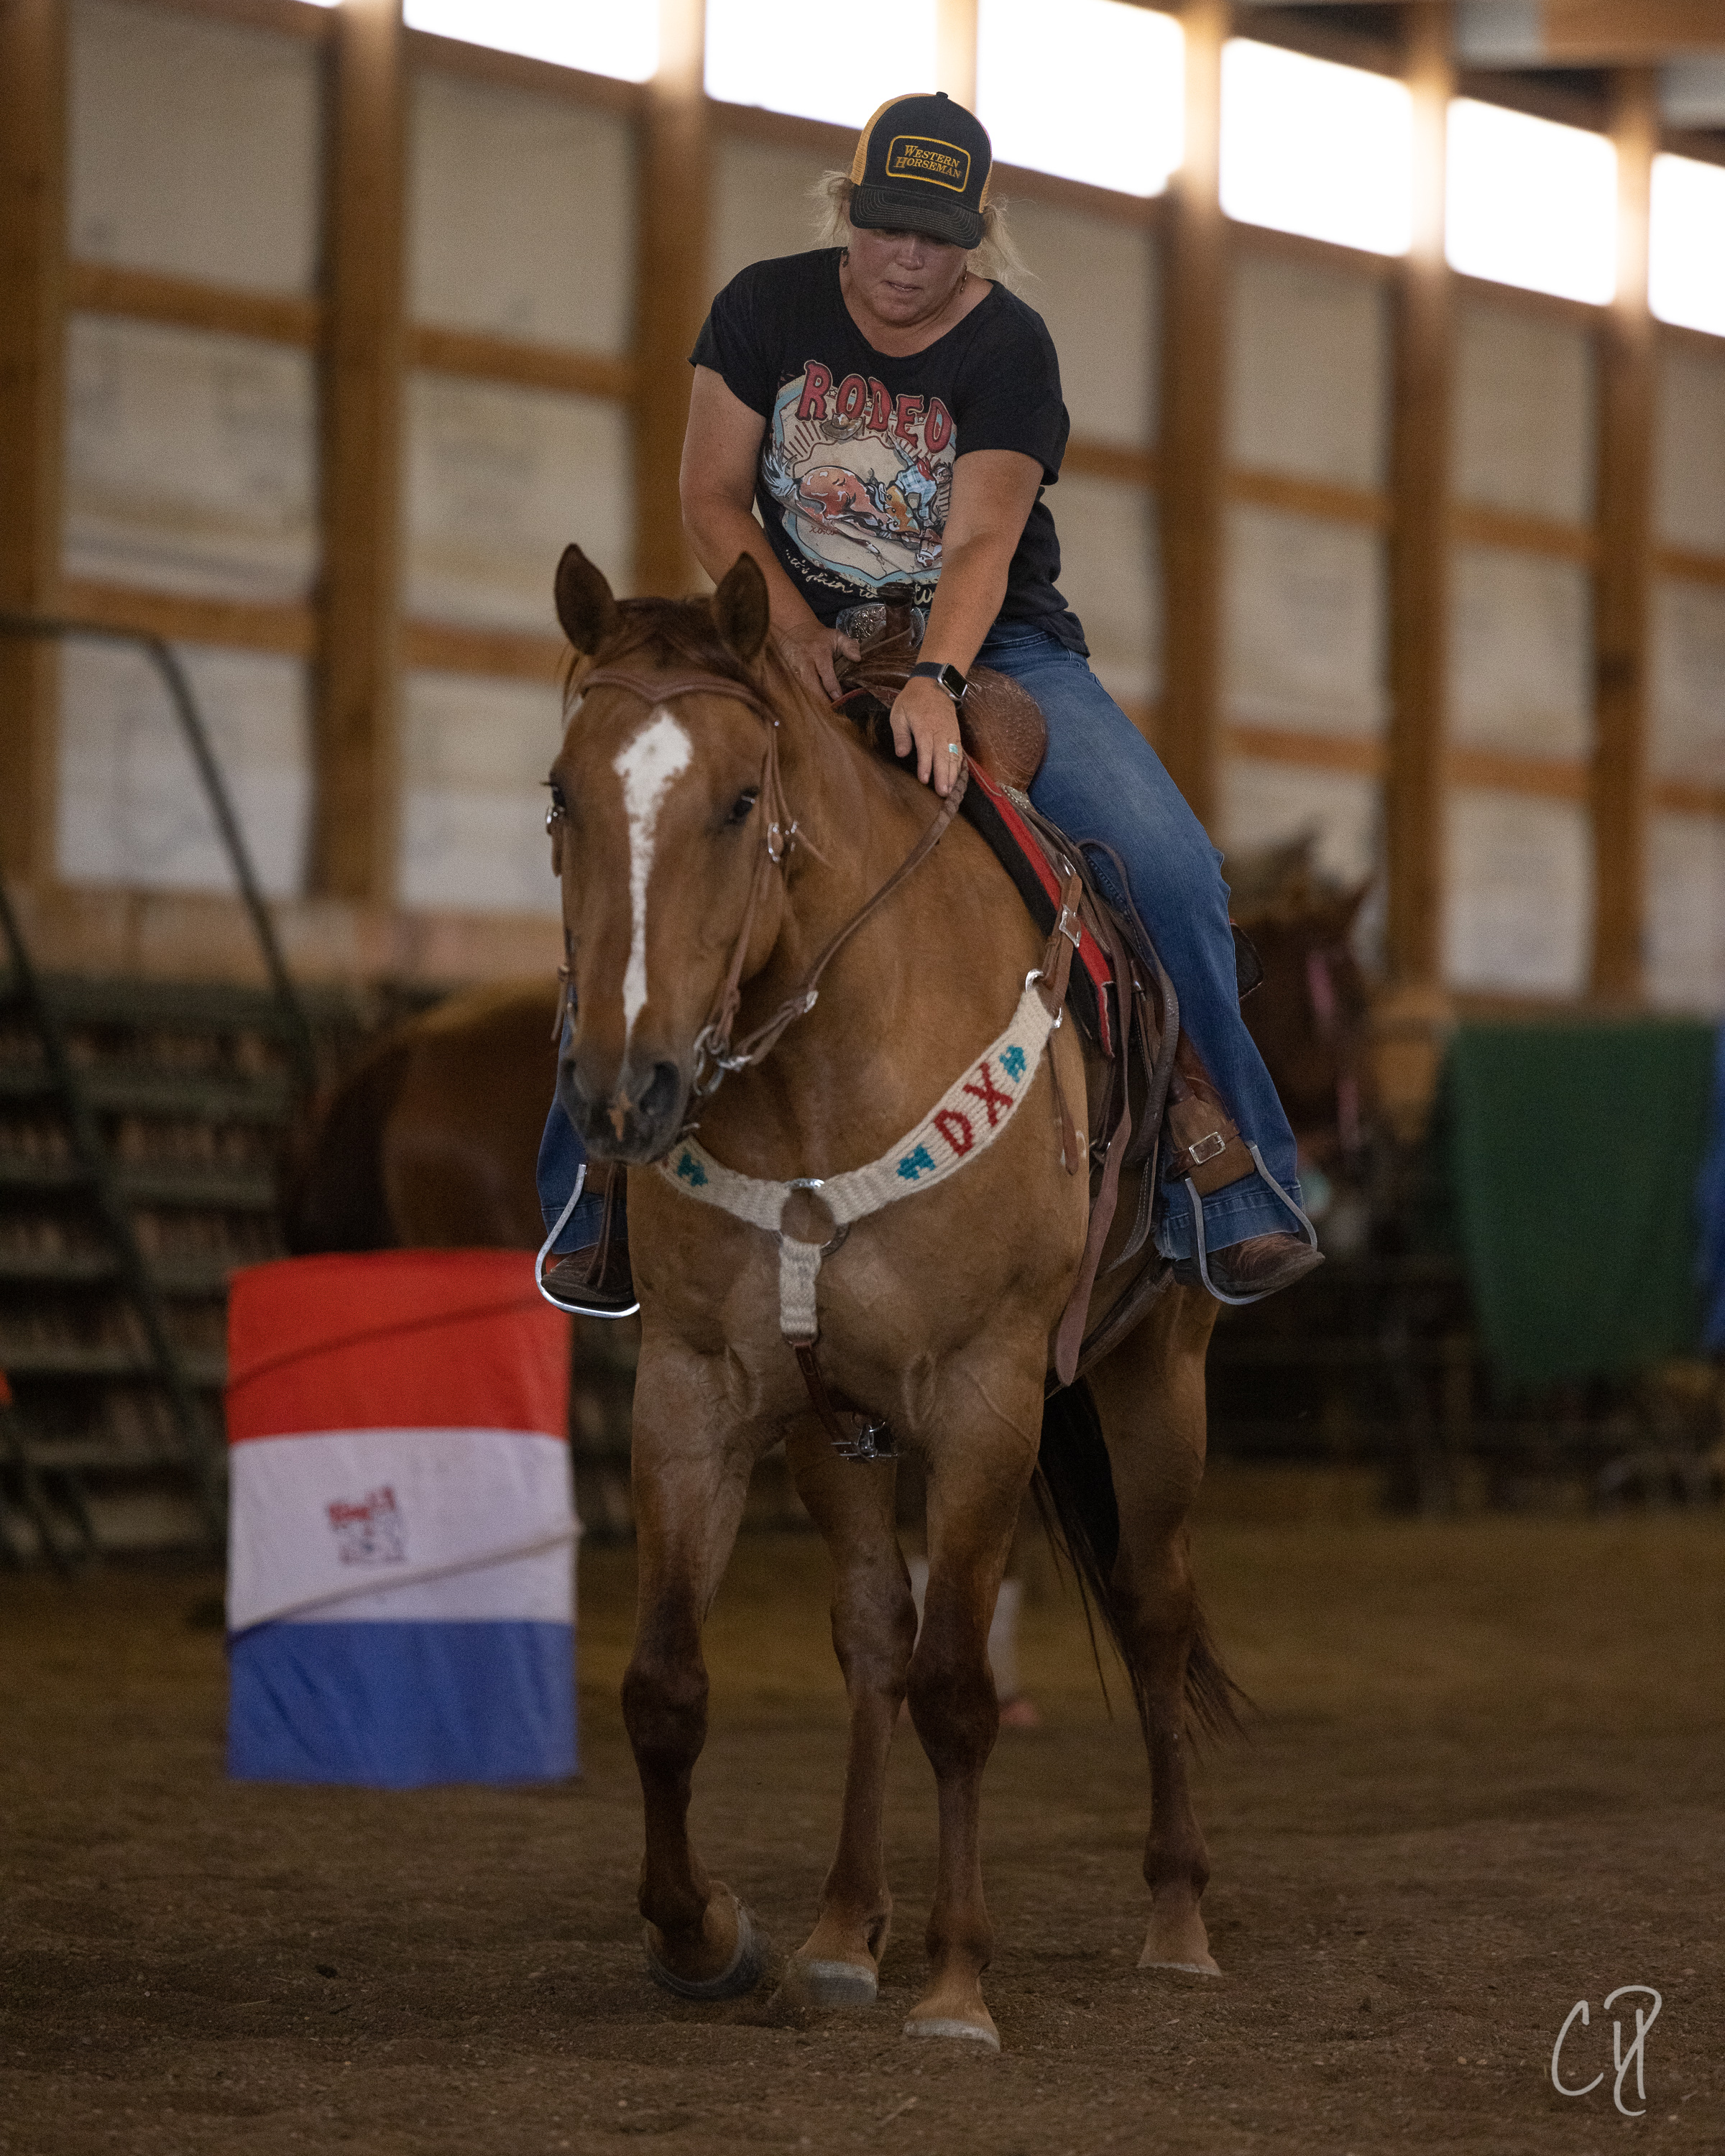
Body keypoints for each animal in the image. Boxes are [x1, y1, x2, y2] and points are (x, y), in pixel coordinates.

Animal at [540, 540, 1239, 2051]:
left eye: (742, 801)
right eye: (563, 795)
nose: (626, 1094)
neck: (821, 1070)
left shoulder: (985, 1398)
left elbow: (961, 1692)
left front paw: (959, 1984)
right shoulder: (697, 1388)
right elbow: (665, 1687)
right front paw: (707, 1934)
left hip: (1158, 1375)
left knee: (1154, 1612)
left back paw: (1176, 1919)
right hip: (833, 1424)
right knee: (872, 1637)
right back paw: (841, 1930)